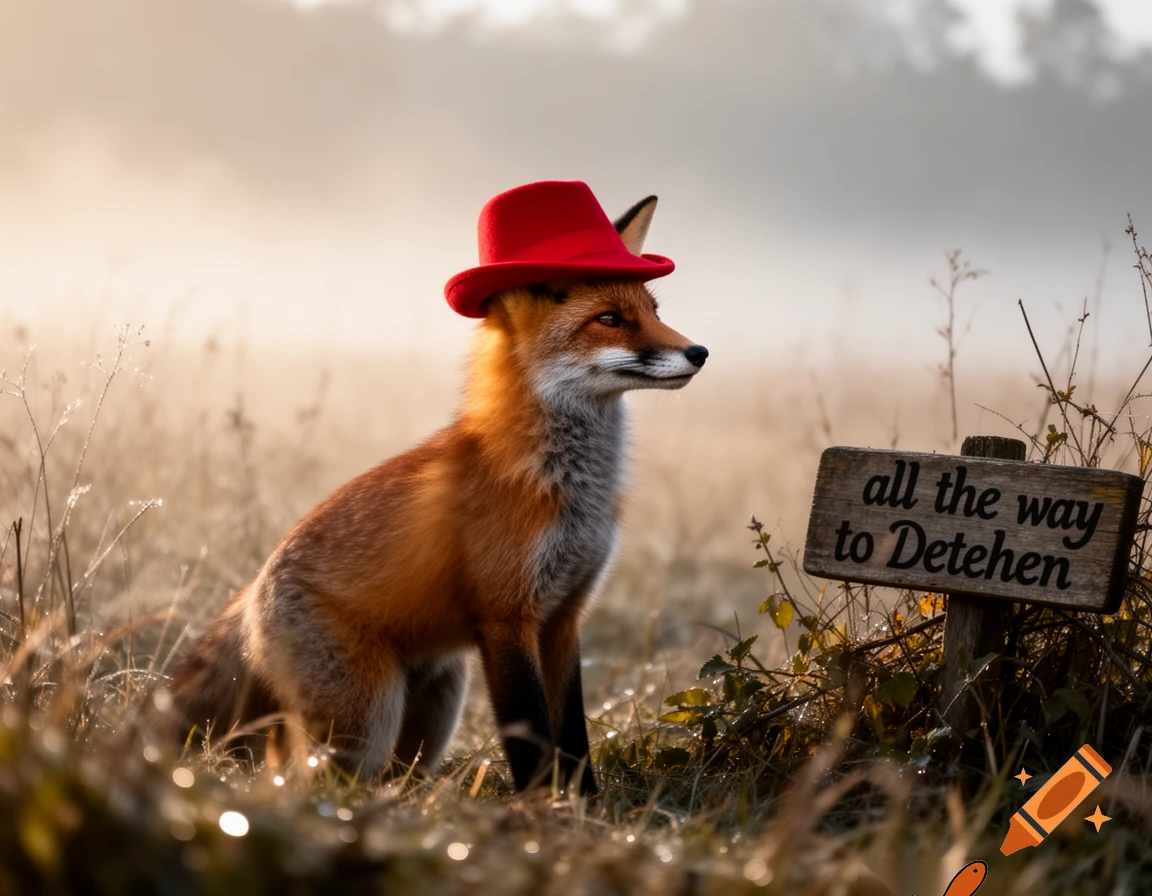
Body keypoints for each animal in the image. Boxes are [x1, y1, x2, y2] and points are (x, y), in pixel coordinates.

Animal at [166, 184, 708, 794]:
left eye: (654, 313)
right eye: (610, 319)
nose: (699, 352)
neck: (569, 490)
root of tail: (252, 587)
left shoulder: (565, 615)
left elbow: (573, 737)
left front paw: (586, 806)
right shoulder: (506, 617)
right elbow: (531, 737)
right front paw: (540, 808)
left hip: (434, 711)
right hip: (364, 725)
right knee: (301, 784)